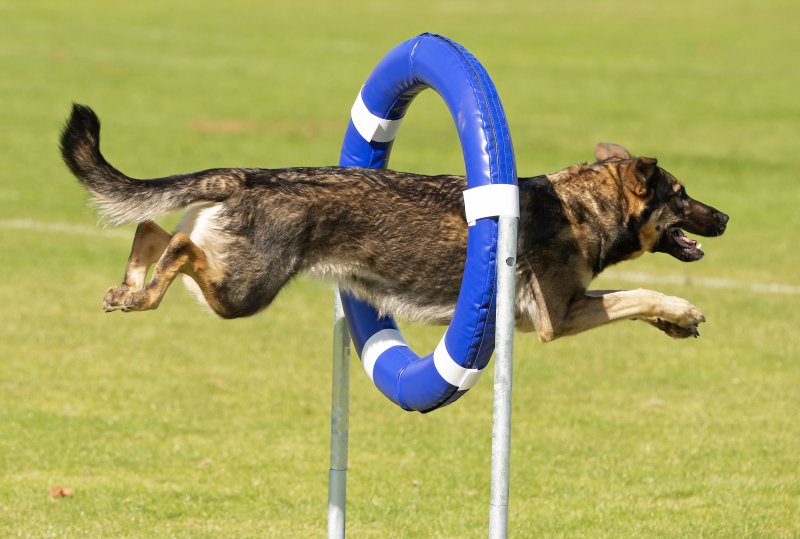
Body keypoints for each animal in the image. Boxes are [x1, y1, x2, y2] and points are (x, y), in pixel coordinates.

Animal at [59, 102, 728, 342]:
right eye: (683, 194)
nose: (724, 216)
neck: (584, 205)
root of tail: (246, 175)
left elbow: (631, 298)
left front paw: (675, 324)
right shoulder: (557, 318)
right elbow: (635, 294)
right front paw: (683, 310)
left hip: (231, 278)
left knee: (152, 230)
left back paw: (127, 288)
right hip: (243, 290)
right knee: (175, 245)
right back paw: (140, 293)